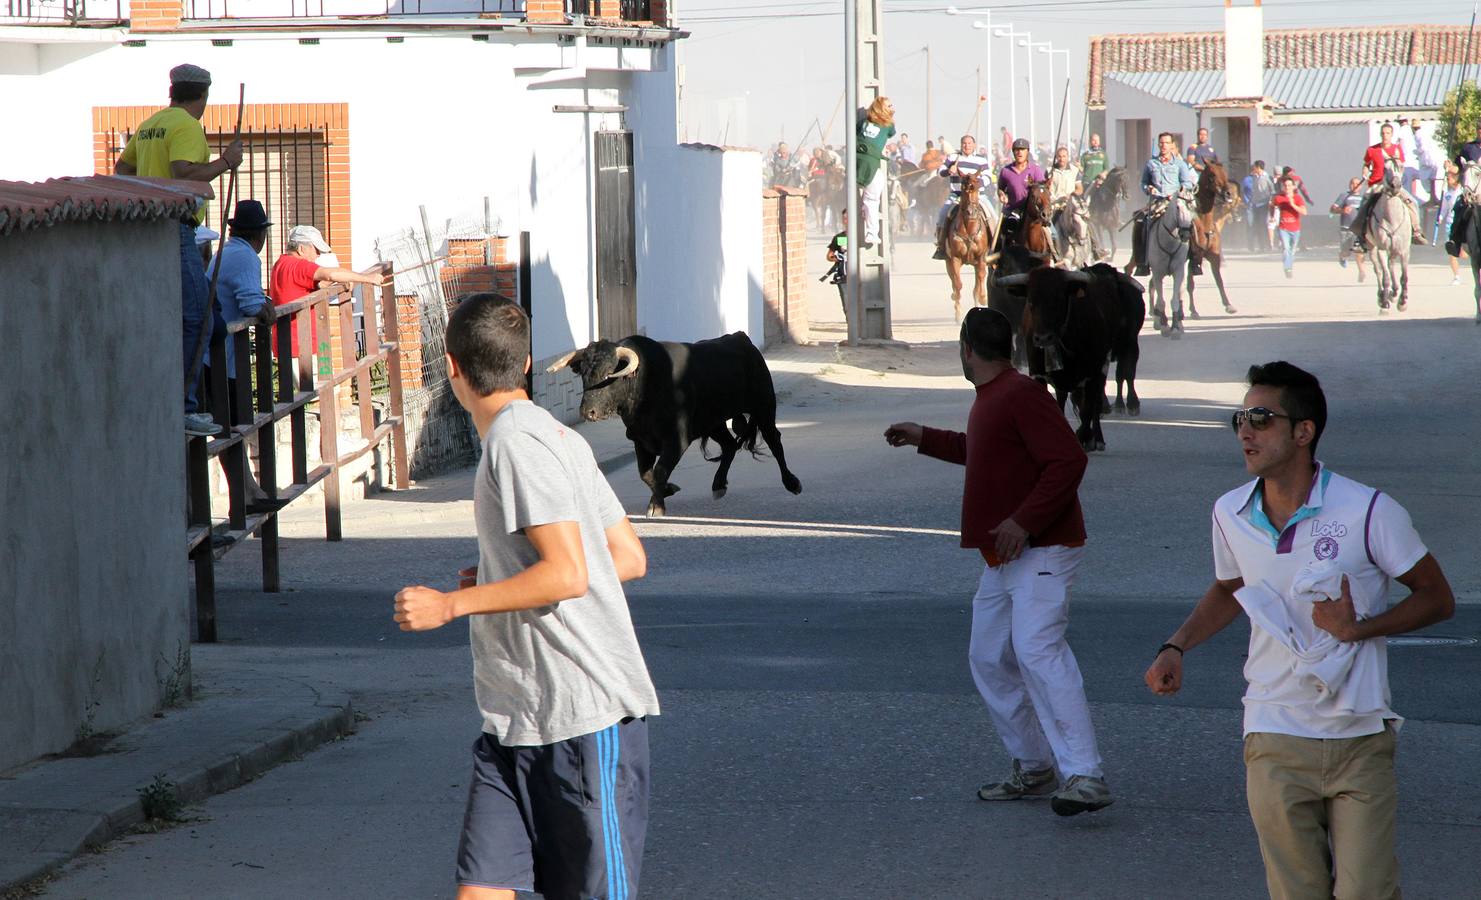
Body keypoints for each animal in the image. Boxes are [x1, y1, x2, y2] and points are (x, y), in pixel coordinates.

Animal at [545, 331, 799, 518]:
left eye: (609, 374)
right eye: (583, 374)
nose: (588, 412)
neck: (646, 383)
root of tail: (741, 339)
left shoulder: (677, 438)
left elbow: (659, 470)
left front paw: (656, 507)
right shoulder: (640, 439)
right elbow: (646, 473)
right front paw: (668, 490)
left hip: (764, 406)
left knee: (774, 440)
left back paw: (792, 483)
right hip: (713, 423)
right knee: (729, 446)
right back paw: (718, 485)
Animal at [941, 173, 1001, 321]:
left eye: (978, 186)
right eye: (963, 187)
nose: (970, 212)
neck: (969, 228)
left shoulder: (981, 258)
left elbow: (980, 280)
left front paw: (983, 299)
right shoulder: (954, 258)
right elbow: (957, 284)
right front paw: (958, 312)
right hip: (949, 262)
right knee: (954, 281)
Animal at [1137, 186, 1196, 337]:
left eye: (1192, 207)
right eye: (1177, 207)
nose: (1185, 234)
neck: (1169, 241)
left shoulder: (1178, 271)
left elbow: (1174, 299)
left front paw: (1175, 328)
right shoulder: (1158, 272)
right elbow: (1161, 300)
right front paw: (1164, 325)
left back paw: (1179, 323)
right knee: (1154, 290)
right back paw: (1158, 319)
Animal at [1184, 161, 1244, 316]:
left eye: (1225, 173)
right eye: (1212, 175)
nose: (1228, 194)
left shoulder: (1212, 255)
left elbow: (1219, 280)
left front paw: (1228, 305)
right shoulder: (1193, 256)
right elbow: (1190, 283)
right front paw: (1193, 311)